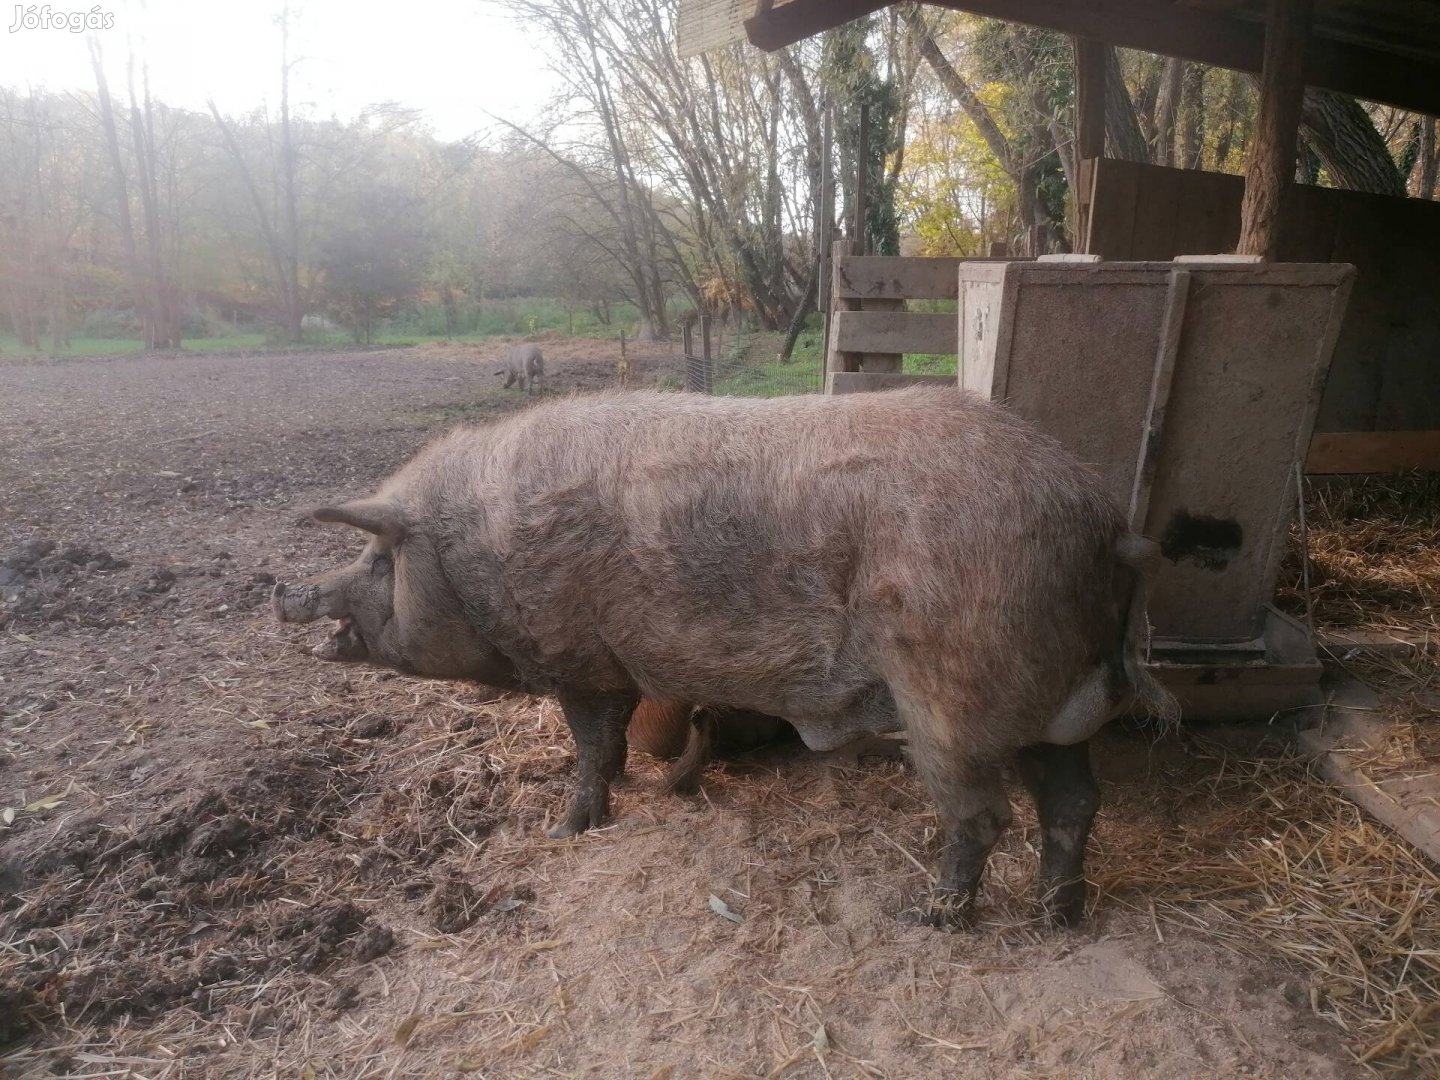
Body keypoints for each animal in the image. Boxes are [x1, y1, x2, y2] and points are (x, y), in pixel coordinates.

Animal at [275, 388, 1175, 933]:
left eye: (377, 560)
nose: (287, 591)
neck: (469, 552)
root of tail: (1107, 523)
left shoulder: (580, 659)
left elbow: (591, 744)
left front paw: (567, 829)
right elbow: (613, 742)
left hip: (947, 699)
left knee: (983, 814)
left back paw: (929, 918)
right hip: (1051, 705)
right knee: (1074, 802)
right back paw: (1056, 918)